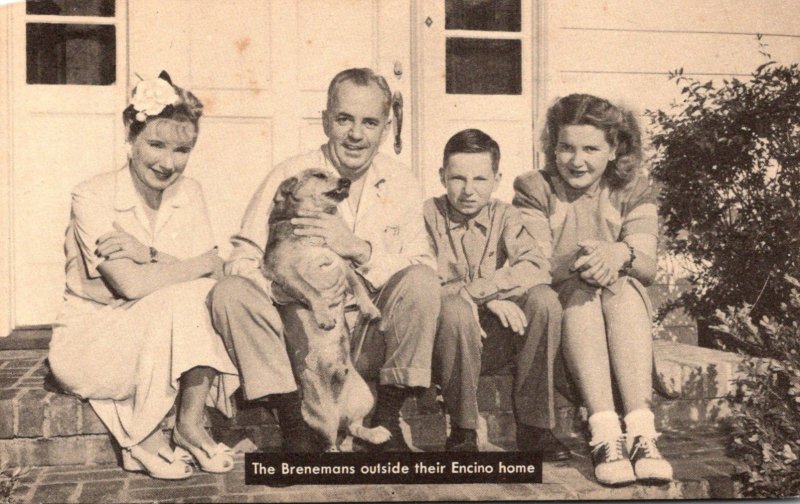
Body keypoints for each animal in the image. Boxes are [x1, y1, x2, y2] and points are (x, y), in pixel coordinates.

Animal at [264, 167, 390, 450]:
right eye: (318, 175)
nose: (345, 181)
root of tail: (340, 409)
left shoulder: (342, 264)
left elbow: (358, 285)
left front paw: (368, 307)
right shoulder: (287, 273)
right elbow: (312, 292)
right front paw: (323, 316)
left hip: (364, 396)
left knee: (355, 428)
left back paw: (375, 433)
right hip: (321, 416)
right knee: (330, 442)